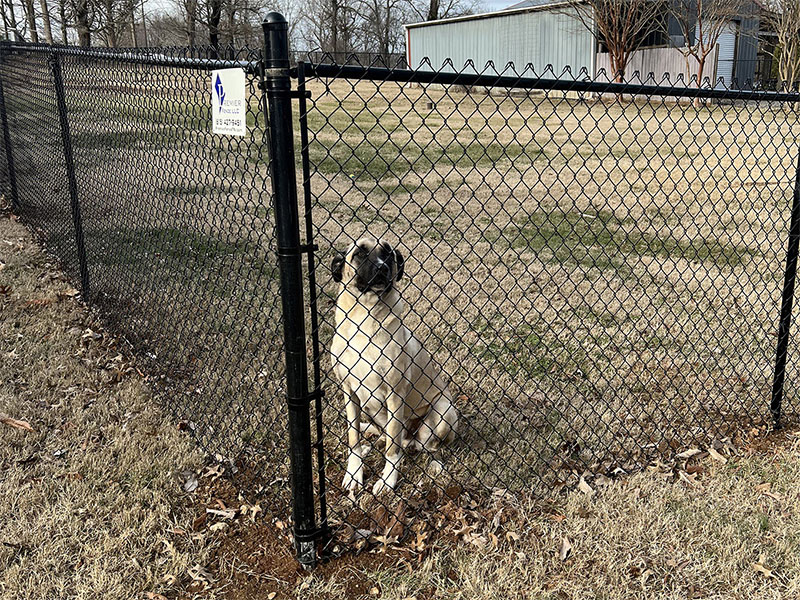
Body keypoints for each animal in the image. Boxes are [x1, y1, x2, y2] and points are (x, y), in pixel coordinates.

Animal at [330, 237, 456, 494]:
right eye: (359, 253)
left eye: (388, 253)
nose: (382, 268)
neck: (364, 318)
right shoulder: (349, 391)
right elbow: (353, 437)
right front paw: (354, 472)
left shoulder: (395, 394)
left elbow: (392, 449)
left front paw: (388, 480)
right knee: (384, 434)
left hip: (443, 412)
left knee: (426, 447)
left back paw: (433, 463)